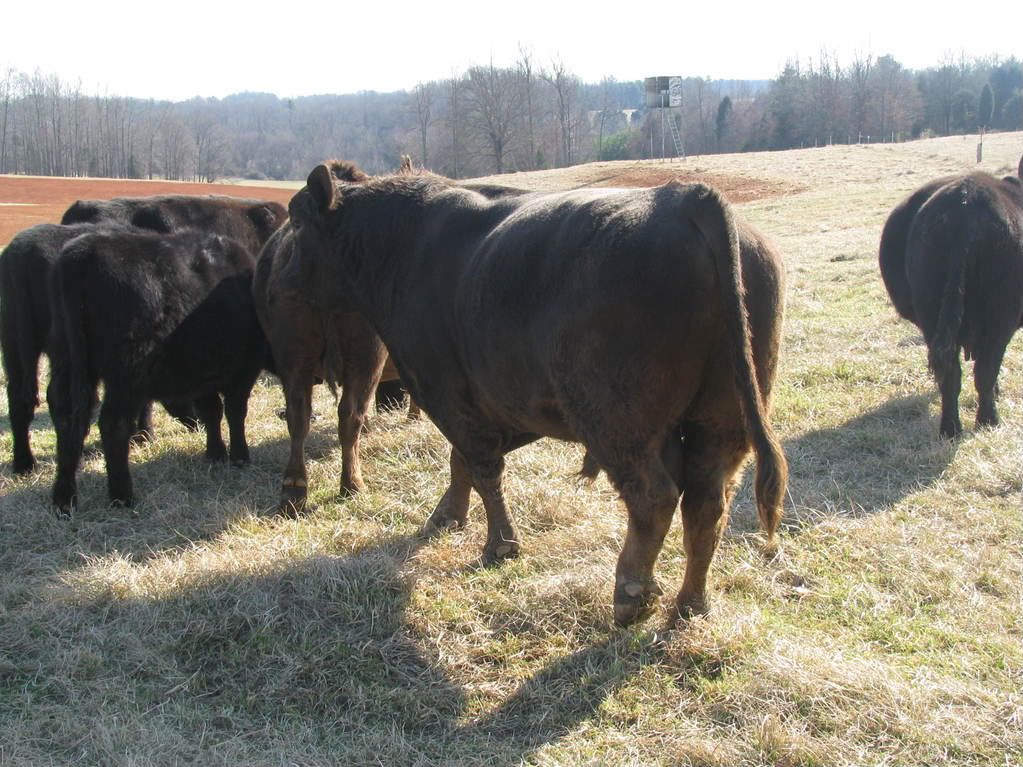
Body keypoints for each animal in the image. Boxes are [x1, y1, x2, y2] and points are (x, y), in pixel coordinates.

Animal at [47, 228, 267, 515]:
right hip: (125, 377)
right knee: (113, 424)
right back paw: (122, 496)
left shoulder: (203, 374)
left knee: (67, 421)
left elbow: (212, 411)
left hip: (66, 362)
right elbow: (234, 412)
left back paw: (64, 499)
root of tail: (84, 251)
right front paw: (240, 456)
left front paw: (215, 454)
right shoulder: (243, 370)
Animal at [282, 162, 787, 627]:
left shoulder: (447, 392)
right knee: (706, 503)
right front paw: (448, 517)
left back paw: (630, 594)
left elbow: (481, 466)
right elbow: (462, 463)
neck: (405, 247)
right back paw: (690, 606)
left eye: (297, 221)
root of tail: (685, 198)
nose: (279, 272)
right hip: (721, 421)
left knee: (653, 497)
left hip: (619, 423)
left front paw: (499, 546)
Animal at [880, 157, 1023, 438]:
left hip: (932, 312)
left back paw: (950, 428)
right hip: (1000, 319)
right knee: (984, 372)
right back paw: (988, 421)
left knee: (950, 375)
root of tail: (965, 207)